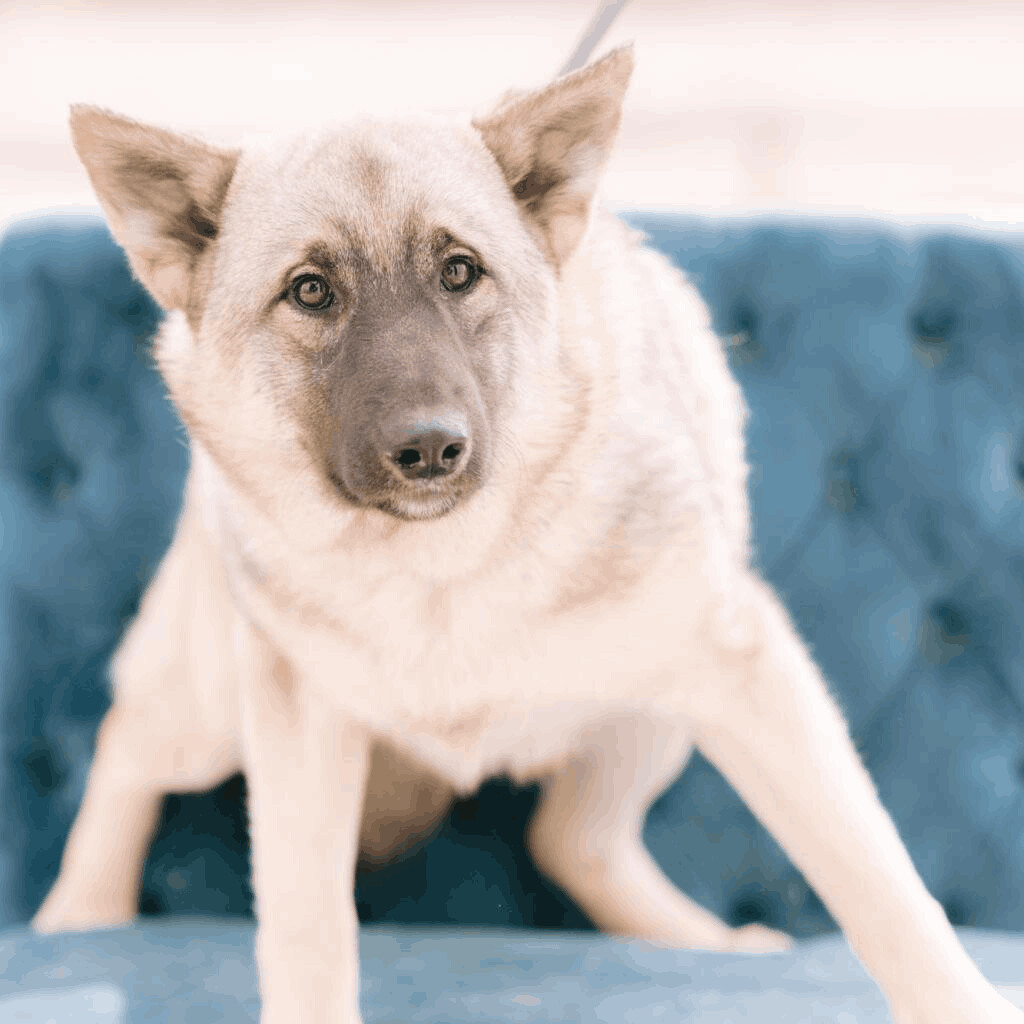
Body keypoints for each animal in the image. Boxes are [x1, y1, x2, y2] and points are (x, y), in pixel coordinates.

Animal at [32, 48, 1024, 1024]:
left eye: (459, 272)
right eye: (310, 291)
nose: (430, 448)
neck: (439, 570)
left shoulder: (747, 677)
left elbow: (876, 880)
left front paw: (958, 996)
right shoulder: (300, 732)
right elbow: (307, 929)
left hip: (649, 714)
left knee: (572, 839)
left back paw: (697, 942)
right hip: (210, 711)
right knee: (126, 740)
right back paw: (78, 913)